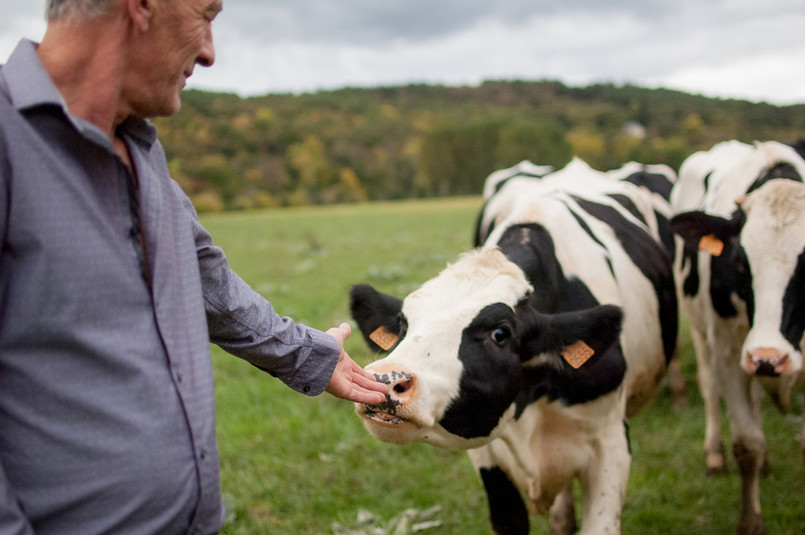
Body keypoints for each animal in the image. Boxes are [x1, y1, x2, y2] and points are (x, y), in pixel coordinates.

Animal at [664, 139, 804, 535]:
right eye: (740, 262)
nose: (768, 356)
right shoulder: (729, 352)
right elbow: (747, 443)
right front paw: (750, 521)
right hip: (702, 333)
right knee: (710, 389)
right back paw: (714, 456)